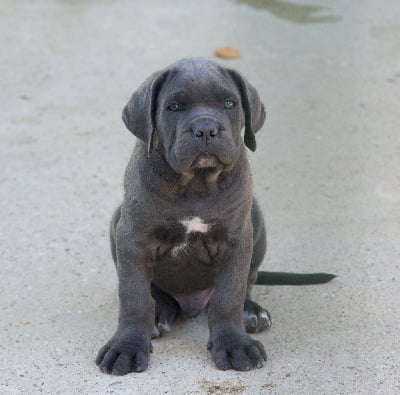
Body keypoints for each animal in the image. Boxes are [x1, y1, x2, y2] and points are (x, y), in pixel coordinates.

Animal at [97, 57, 334, 376]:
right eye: (174, 107)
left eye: (229, 103)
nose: (206, 129)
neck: (196, 183)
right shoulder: (133, 238)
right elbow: (134, 297)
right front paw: (127, 347)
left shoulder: (236, 241)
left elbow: (228, 296)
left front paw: (235, 345)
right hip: (117, 219)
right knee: (154, 292)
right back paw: (160, 311)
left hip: (256, 218)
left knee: (247, 282)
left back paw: (251, 312)